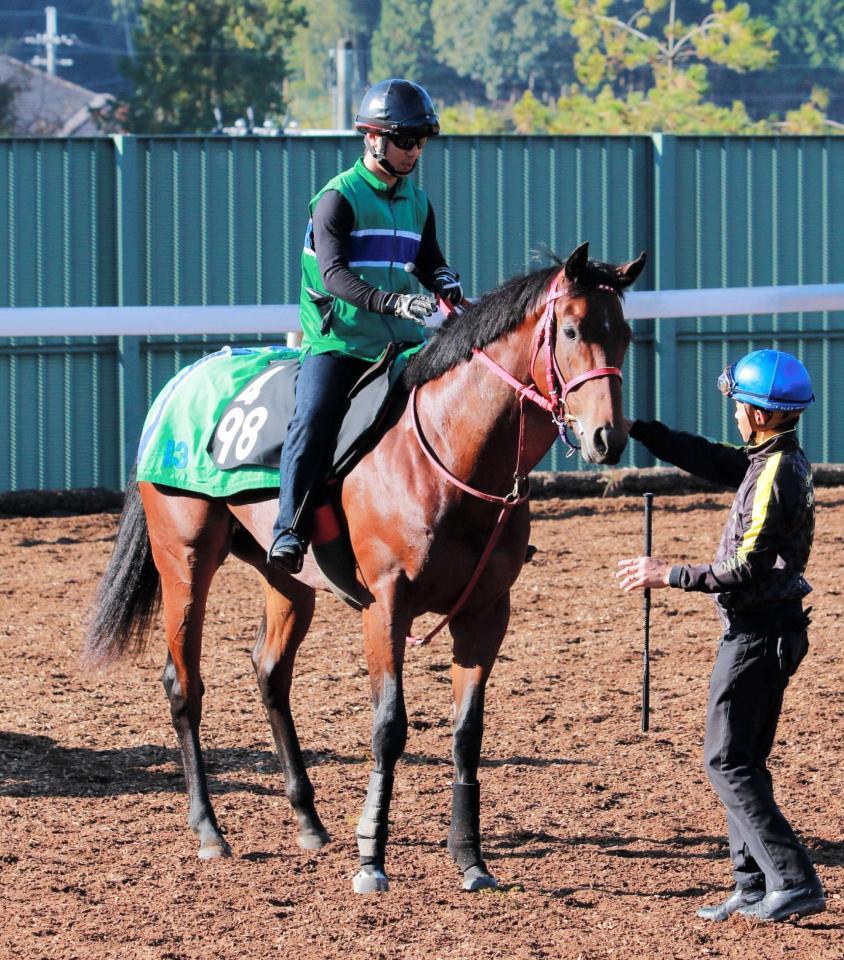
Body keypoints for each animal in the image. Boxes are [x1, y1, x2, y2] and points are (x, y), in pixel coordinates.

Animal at [84, 241, 645, 894]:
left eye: (624, 332)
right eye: (573, 329)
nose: (608, 437)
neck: (449, 453)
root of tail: (178, 385)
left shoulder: (487, 611)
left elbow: (467, 733)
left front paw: (469, 857)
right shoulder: (386, 604)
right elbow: (389, 726)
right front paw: (372, 855)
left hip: (287, 578)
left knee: (270, 672)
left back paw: (308, 820)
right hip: (186, 560)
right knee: (184, 683)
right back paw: (209, 830)